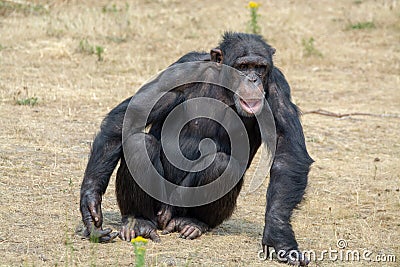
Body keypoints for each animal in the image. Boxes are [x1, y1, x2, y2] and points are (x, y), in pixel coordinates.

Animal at [80, 31, 312, 266]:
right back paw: (139, 221)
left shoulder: (277, 87)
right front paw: (90, 204)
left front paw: (279, 236)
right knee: (139, 144)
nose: (253, 79)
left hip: (179, 206)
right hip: (158, 204)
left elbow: (287, 150)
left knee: (221, 164)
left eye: (260, 68)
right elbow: (130, 117)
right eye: (243, 67)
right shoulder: (182, 70)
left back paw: (192, 222)